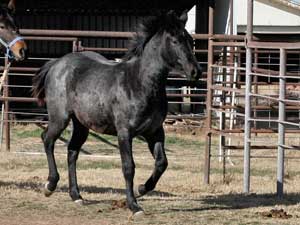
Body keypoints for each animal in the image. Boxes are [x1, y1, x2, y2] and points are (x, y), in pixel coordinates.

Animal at [32, 10, 202, 216]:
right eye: (175, 40)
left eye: (190, 40)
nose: (196, 71)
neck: (140, 82)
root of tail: (56, 63)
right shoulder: (124, 133)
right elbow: (128, 167)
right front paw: (134, 206)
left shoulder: (154, 132)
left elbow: (162, 163)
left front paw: (142, 189)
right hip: (60, 118)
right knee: (47, 139)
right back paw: (50, 185)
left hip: (81, 124)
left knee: (72, 151)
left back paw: (77, 196)